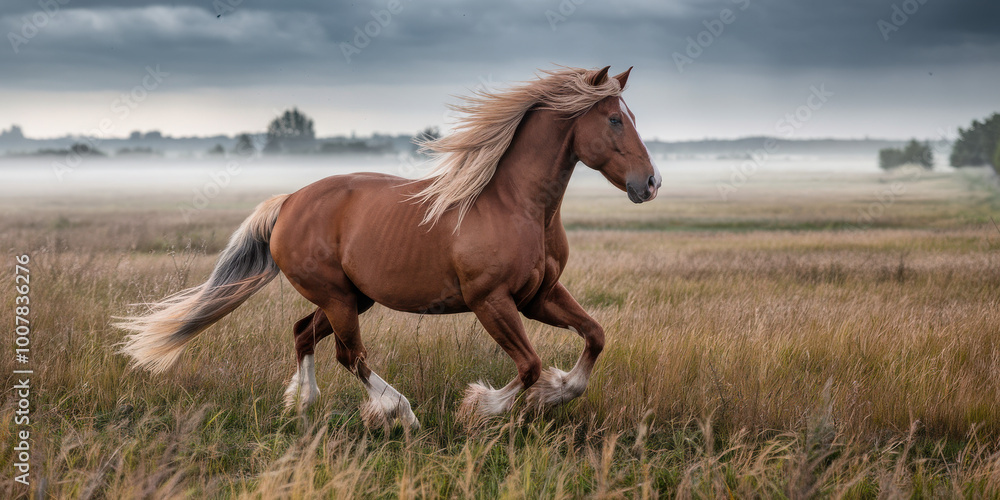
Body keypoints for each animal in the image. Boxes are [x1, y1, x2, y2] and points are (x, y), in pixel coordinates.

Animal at [116, 66, 661, 429]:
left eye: (632, 115)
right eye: (614, 120)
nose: (650, 183)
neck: (516, 205)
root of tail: (288, 202)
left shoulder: (539, 296)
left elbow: (595, 336)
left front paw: (556, 392)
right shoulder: (492, 301)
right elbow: (528, 366)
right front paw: (479, 408)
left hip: (352, 297)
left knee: (303, 334)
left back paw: (302, 405)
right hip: (339, 297)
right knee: (349, 354)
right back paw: (402, 414)